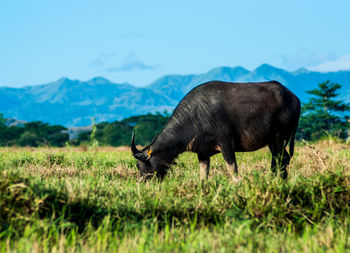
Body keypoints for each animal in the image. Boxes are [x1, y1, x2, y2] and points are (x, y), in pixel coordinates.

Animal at [131, 80, 300, 180]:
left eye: (139, 165)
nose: (143, 182)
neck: (195, 117)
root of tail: (294, 98)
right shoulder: (203, 153)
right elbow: (203, 175)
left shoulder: (226, 143)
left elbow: (232, 169)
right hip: (273, 140)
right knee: (283, 159)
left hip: (278, 137)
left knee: (278, 160)